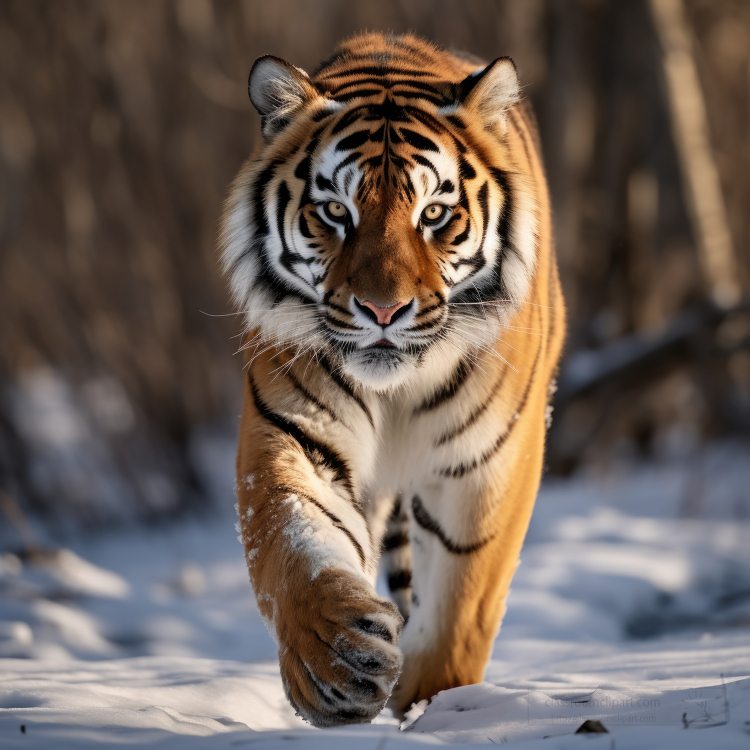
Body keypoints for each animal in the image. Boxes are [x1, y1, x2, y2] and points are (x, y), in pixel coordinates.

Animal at [220, 33, 568, 728]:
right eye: (335, 211)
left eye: (434, 214)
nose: (384, 311)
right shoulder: (294, 432)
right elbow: (293, 545)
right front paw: (335, 665)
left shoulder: (490, 462)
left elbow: (462, 606)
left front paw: (440, 708)